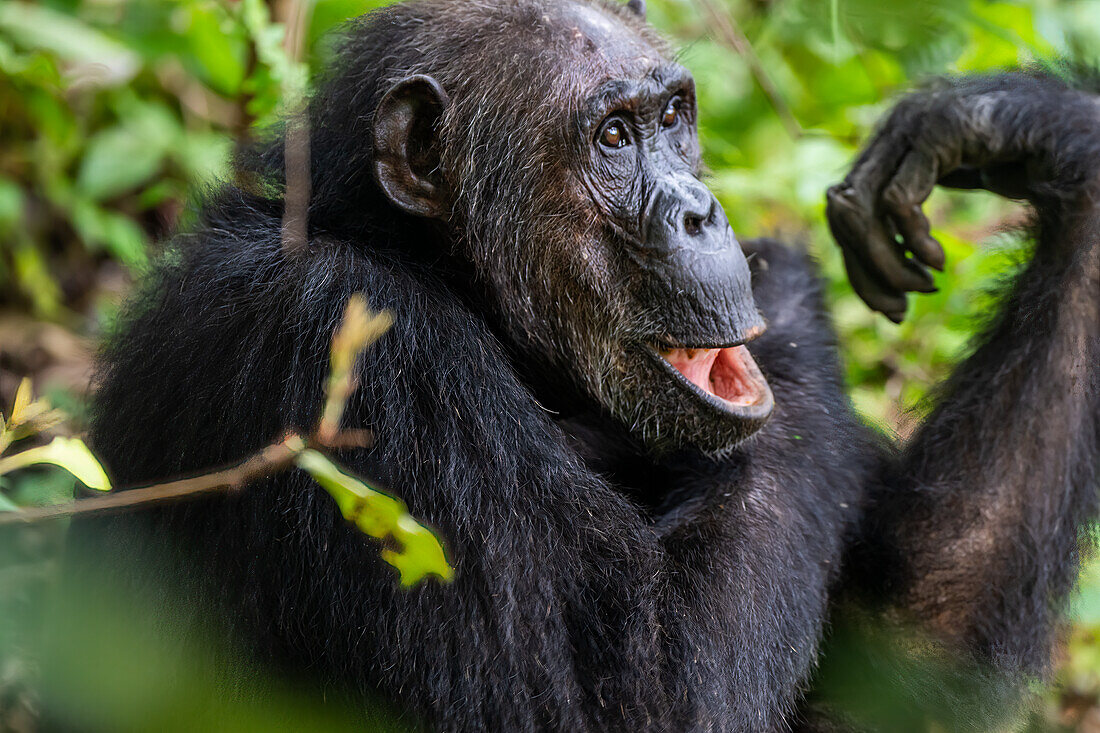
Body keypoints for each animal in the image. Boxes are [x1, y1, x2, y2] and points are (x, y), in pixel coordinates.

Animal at [70, 0, 1100, 726]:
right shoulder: (351, 348)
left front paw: (1029, 124)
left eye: (675, 116)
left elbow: (894, 661)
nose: (700, 210)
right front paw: (794, 299)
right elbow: (630, 698)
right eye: (612, 136)